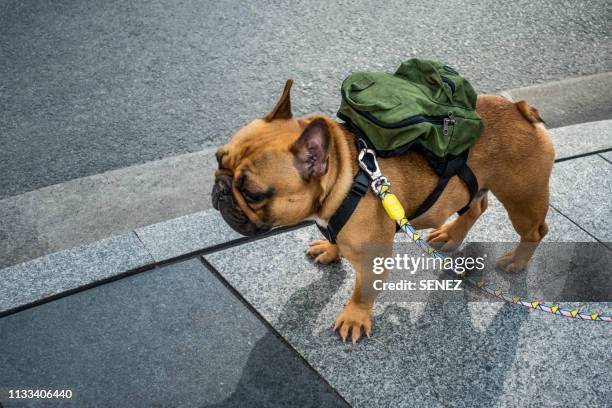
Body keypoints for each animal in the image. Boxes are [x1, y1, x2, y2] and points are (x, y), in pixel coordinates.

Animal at [213, 78, 556, 342]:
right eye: (218, 158)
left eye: (252, 193)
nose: (219, 189)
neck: (346, 179)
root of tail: (520, 109)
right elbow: (336, 242)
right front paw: (330, 249)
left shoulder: (373, 259)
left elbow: (362, 292)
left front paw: (354, 318)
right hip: (471, 186)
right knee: (477, 205)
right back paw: (450, 235)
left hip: (522, 197)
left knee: (536, 230)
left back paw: (516, 262)